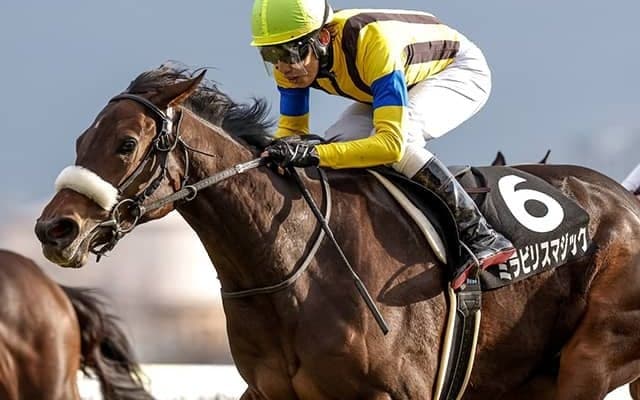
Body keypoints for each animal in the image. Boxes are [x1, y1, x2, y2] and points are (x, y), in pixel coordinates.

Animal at [33, 65, 640, 399]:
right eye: (82, 139)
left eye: (126, 144)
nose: (53, 229)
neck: (294, 270)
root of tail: (626, 200)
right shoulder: (267, 391)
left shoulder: (399, 394)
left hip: (588, 362)